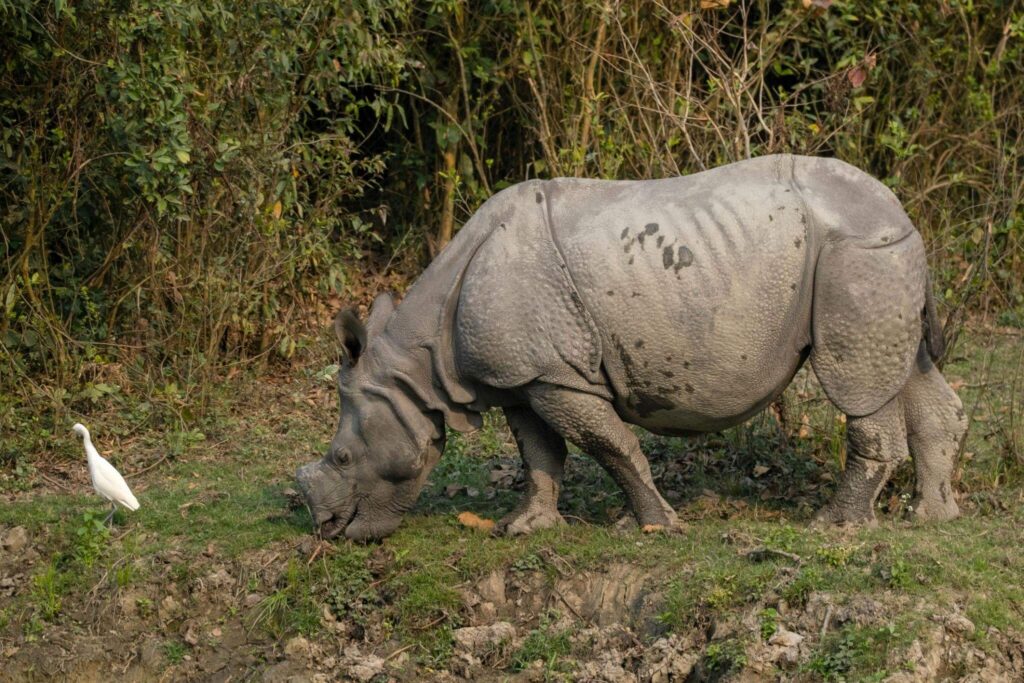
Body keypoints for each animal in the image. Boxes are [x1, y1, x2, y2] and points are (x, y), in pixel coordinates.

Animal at [296, 154, 967, 541]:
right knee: (906, 370)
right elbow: (539, 453)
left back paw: (834, 526)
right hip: (882, 258)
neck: (421, 366)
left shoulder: (555, 375)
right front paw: (523, 528)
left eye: (343, 458)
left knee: (856, 384)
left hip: (858, 253)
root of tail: (900, 210)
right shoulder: (524, 376)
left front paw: (653, 527)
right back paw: (933, 517)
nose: (328, 529)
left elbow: (608, 444)